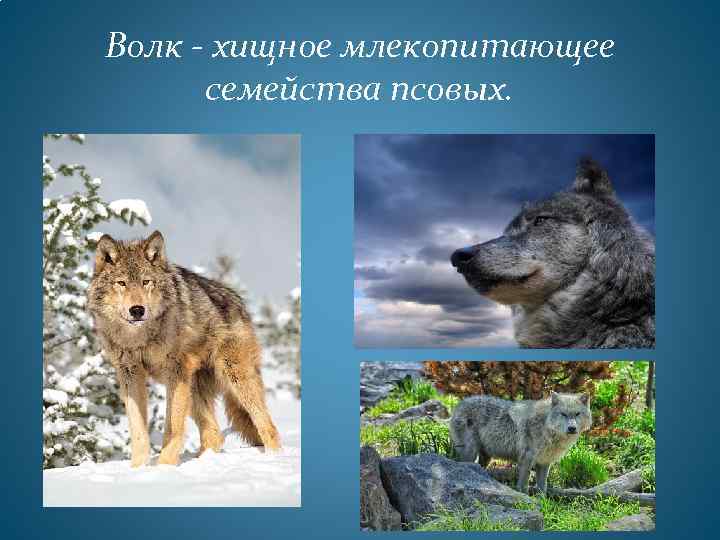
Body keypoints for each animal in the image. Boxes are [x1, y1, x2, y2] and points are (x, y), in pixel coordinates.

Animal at [87, 230, 281, 467]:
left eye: (146, 282)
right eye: (121, 283)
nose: (137, 310)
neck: (139, 338)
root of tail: (238, 301)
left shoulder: (176, 373)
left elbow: (172, 426)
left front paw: (164, 468)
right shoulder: (130, 374)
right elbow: (138, 431)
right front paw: (138, 469)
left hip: (236, 378)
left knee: (267, 425)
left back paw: (273, 458)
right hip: (195, 389)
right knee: (214, 434)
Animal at [450, 392, 592, 494]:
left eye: (577, 414)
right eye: (563, 414)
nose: (572, 428)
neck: (545, 426)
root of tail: (458, 405)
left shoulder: (544, 463)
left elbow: (542, 487)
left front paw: (542, 502)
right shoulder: (526, 459)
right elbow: (523, 484)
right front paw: (526, 499)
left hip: (485, 458)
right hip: (470, 453)